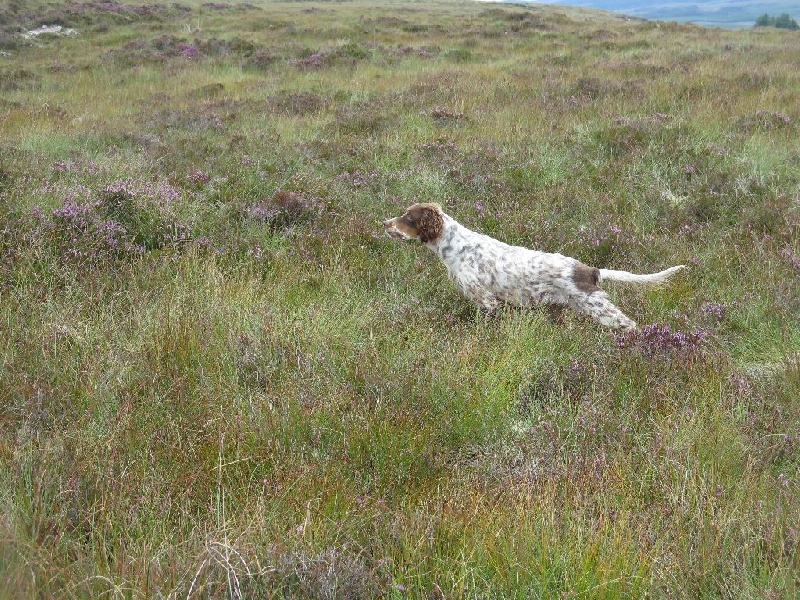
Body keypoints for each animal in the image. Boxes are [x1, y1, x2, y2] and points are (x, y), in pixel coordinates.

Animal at [384, 204, 684, 330]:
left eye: (408, 217)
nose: (384, 223)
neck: (456, 246)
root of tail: (591, 271)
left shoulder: (488, 301)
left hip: (601, 309)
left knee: (631, 326)